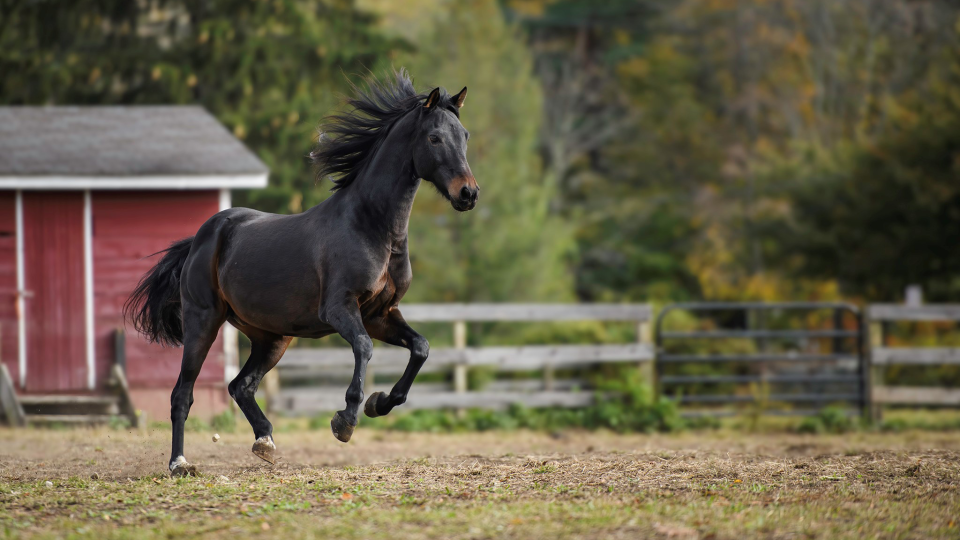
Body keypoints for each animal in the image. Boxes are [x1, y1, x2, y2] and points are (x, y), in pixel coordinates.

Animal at [125, 69, 478, 477]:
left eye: (464, 136)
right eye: (434, 138)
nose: (468, 193)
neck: (371, 227)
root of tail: (202, 236)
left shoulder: (380, 314)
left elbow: (420, 347)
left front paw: (379, 402)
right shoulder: (340, 310)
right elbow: (364, 347)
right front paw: (345, 421)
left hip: (272, 337)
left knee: (241, 386)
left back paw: (265, 442)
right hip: (204, 321)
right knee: (182, 394)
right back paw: (180, 463)